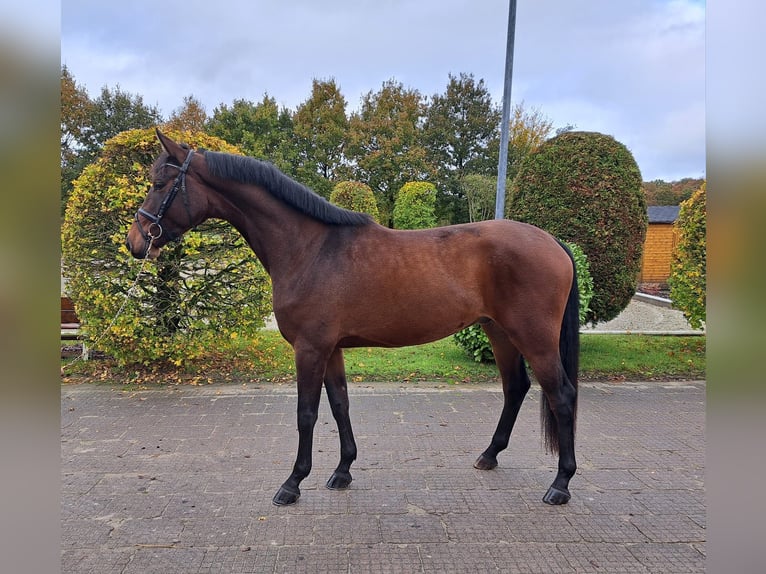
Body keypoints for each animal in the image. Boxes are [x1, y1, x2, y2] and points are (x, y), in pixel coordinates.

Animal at [127, 132, 584, 508]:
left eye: (160, 184)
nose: (135, 242)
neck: (311, 249)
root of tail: (554, 242)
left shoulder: (310, 349)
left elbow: (306, 413)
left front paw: (292, 483)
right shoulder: (330, 349)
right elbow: (339, 404)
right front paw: (342, 470)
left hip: (533, 336)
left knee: (561, 394)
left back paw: (561, 484)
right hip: (499, 330)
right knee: (516, 387)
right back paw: (489, 456)